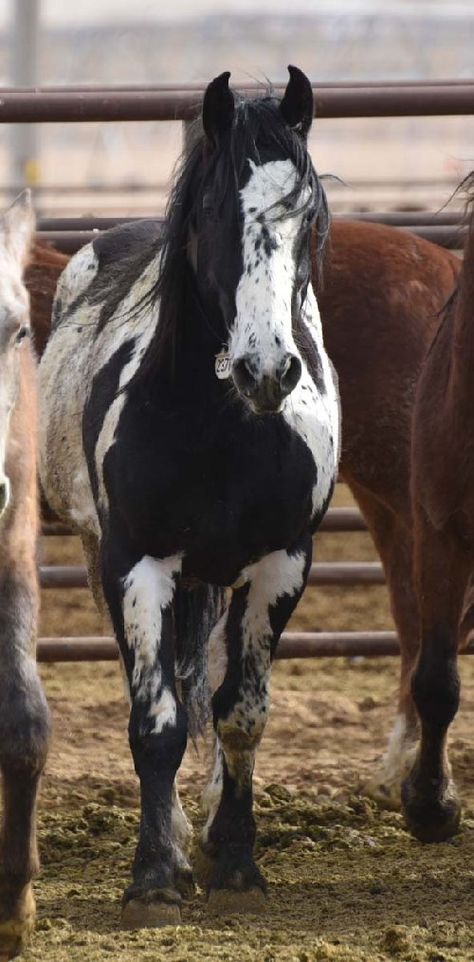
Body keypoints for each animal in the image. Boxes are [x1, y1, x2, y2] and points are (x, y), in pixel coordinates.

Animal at [39, 67, 338, 924]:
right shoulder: (137, 563)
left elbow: (240, 714)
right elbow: (158, 723)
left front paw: (235, 859)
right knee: (161, 689)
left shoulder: (283, 564)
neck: (225, 428)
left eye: (308, 215)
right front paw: (154, 874)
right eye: (212, 212)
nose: (268, 370)